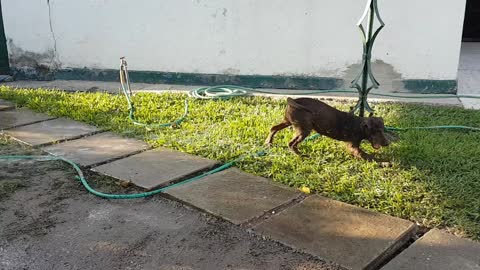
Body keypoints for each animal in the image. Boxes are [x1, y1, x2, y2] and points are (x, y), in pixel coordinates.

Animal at [264, 97, 392, 160]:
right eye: (377, 131)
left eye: (383, 130)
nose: (387, 144)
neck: (359, 126)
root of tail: (294, 100)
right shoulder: (353, 147)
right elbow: (366, 155)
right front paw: (384, 163)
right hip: (304, 129)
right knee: (291, 143)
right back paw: (300, 155)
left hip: (288, 122)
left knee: (273, 128)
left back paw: (269, 142)